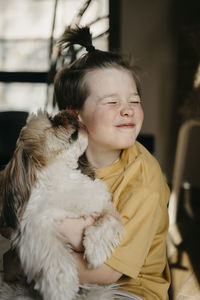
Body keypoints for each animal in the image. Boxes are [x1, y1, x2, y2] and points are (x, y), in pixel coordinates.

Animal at [0, 110, 124, 300]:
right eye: (53, 120)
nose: (70, 113)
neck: (63, 178)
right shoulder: (35, 228)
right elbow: (55, 257)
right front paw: (62, 288)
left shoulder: (101, 204)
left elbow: (109, 220)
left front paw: (95, 251)